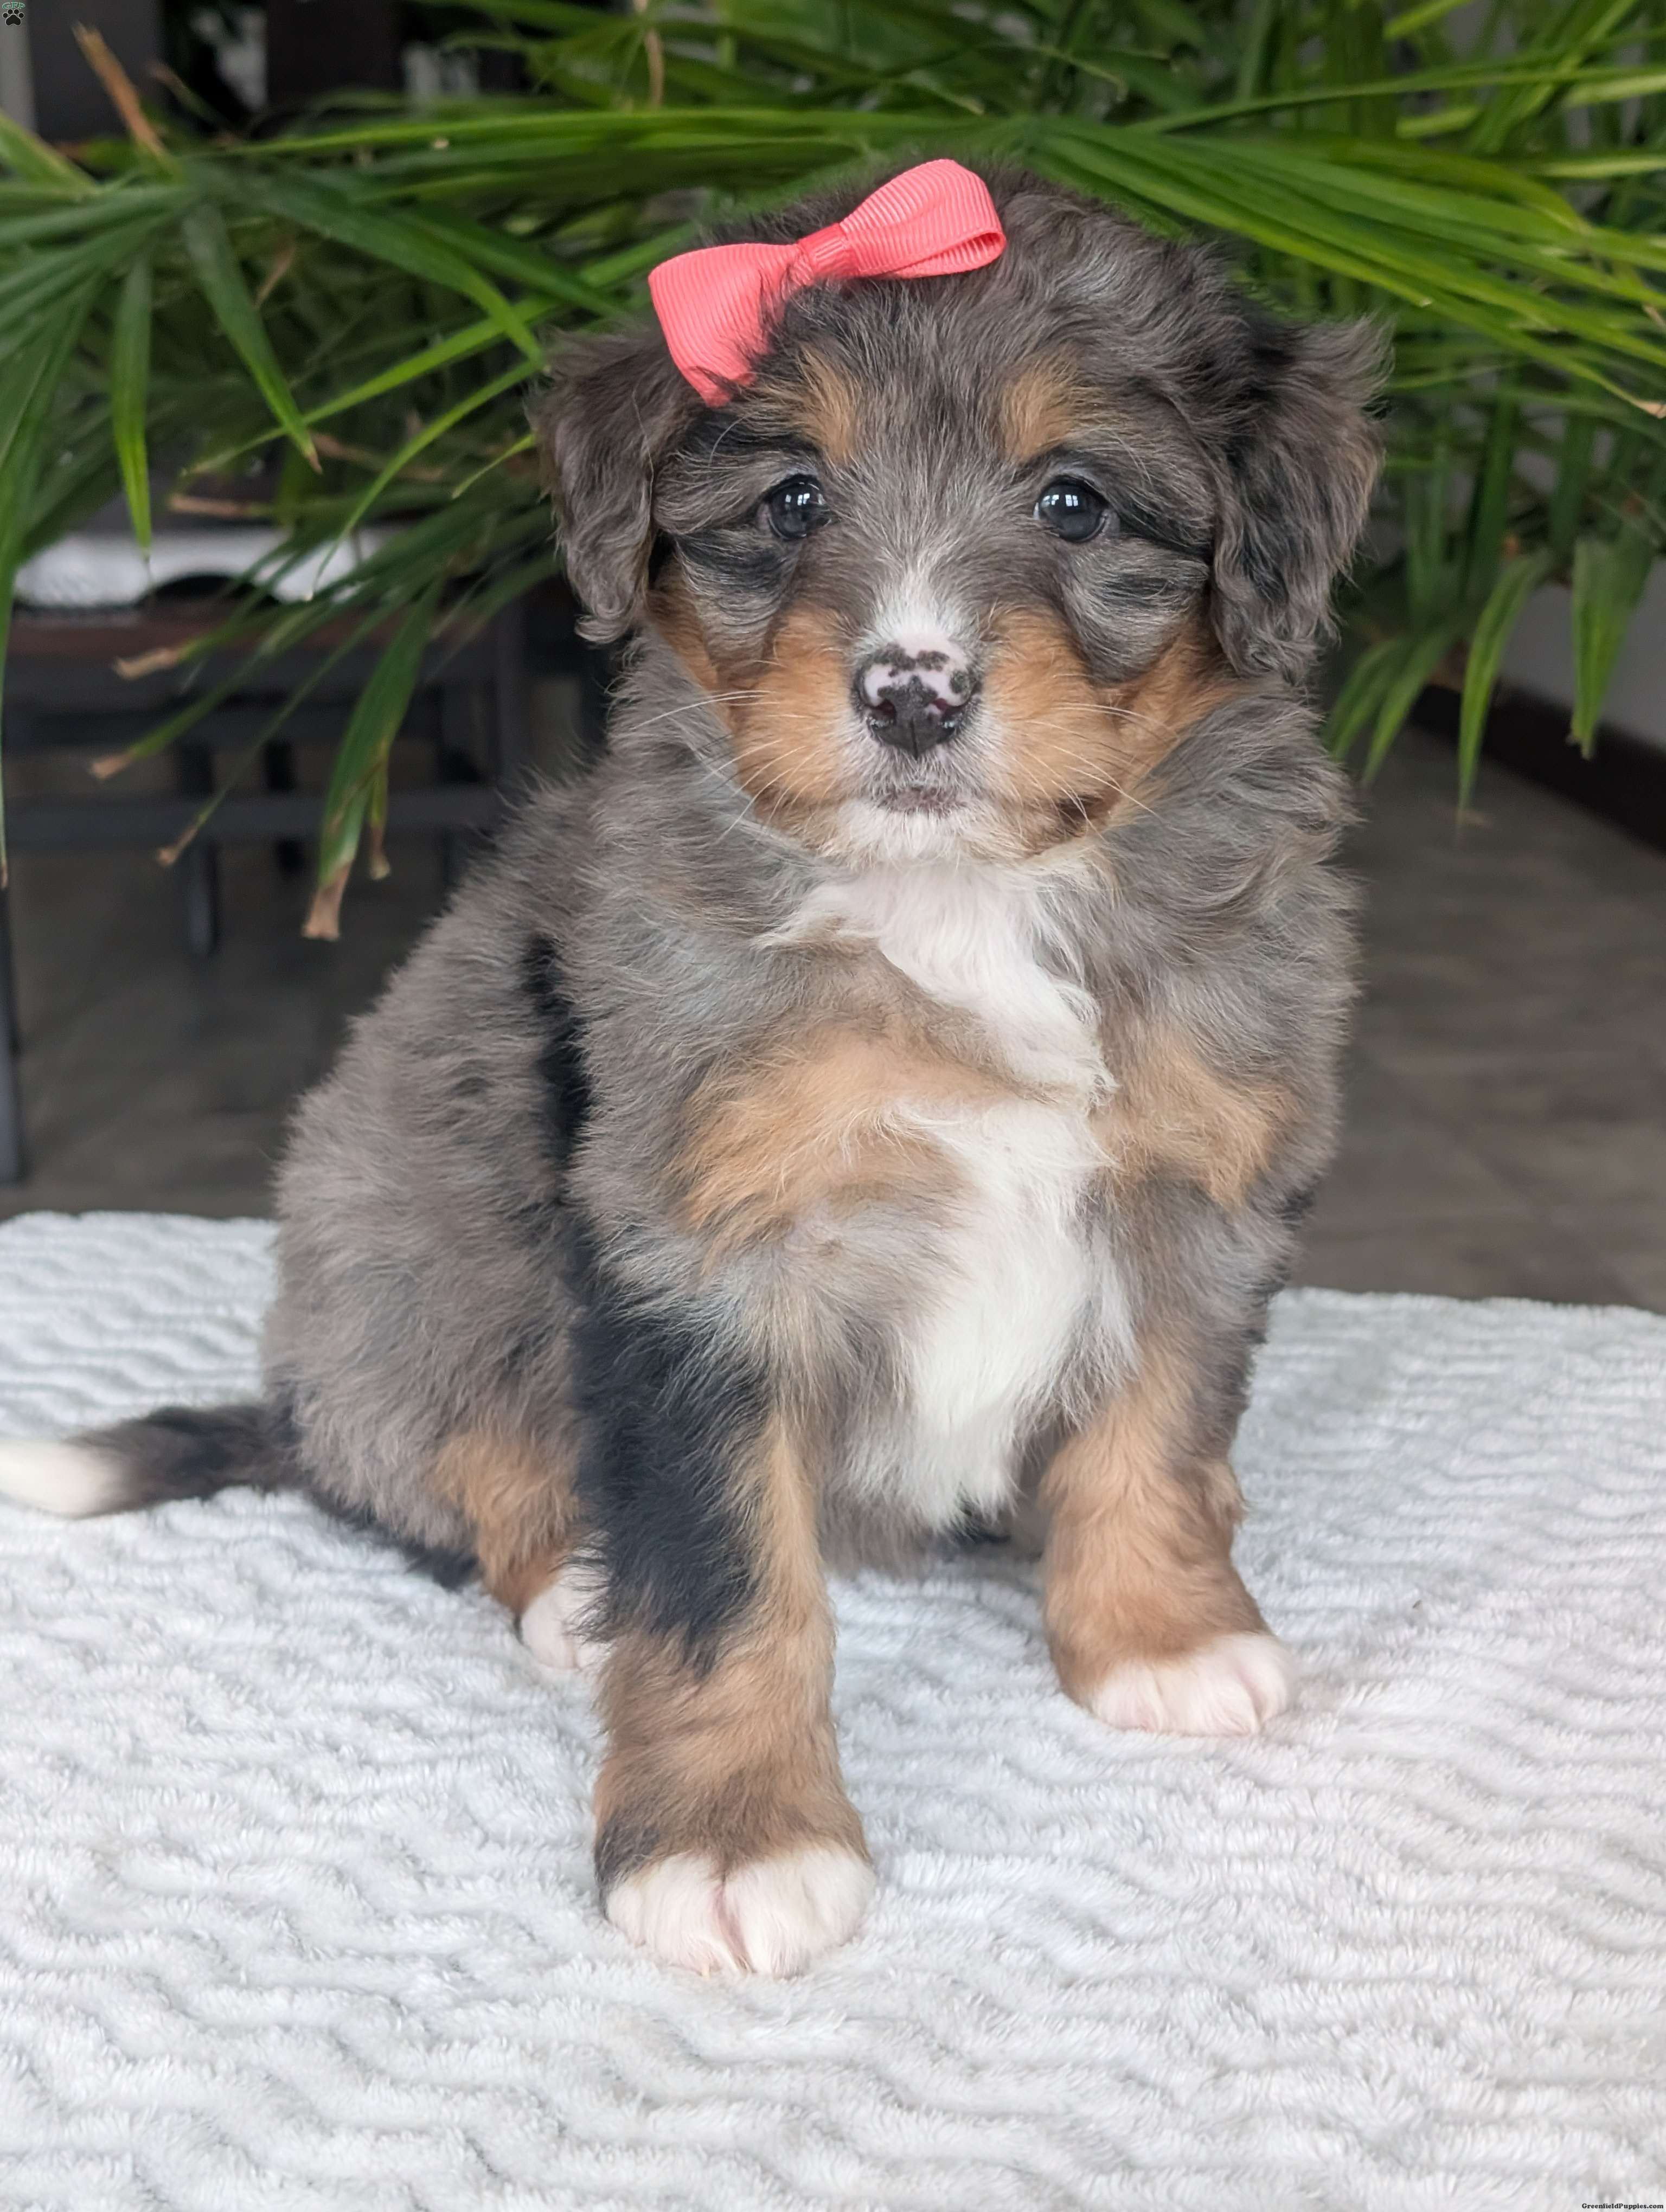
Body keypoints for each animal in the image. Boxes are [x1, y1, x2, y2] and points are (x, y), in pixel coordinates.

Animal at [0, 161, 1380, 1976]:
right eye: (793, 503)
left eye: (1075, 503)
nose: (914, 689)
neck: (957, 903)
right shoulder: (701, 1253)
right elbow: (726, 1571)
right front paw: (733, 1839)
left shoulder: (1198, 1188)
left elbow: (1157, 1424)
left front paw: (1158, 1633)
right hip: (415, 1262)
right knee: (465, 1467)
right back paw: (575, 1598)